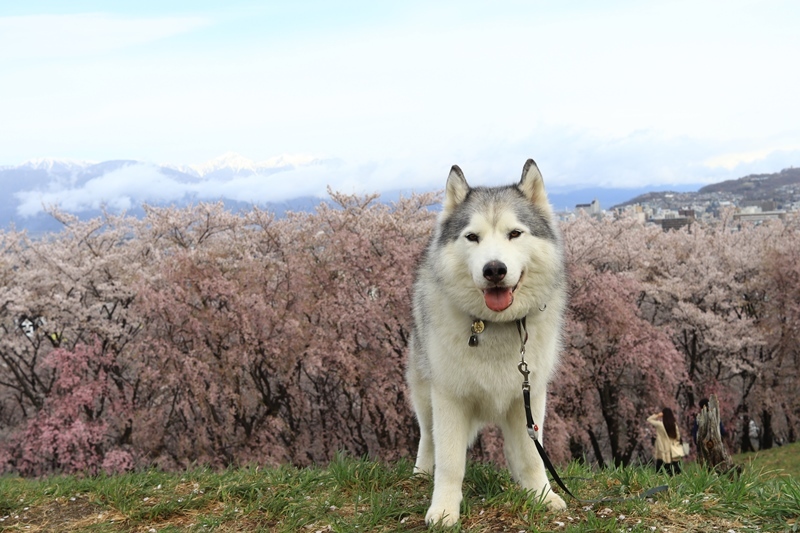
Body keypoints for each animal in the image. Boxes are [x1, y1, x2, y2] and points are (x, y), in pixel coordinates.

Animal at [406, 157, 568, 524]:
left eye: (515, 233)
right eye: (472, 237)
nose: (494, 269)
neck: (495, 325)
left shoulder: (528, 397)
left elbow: (532, 455)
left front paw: (542, 495)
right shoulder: (449, 398)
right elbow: (450, 461)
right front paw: (444, 509)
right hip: (424, 394)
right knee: (428, 437)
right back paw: (421, 472)